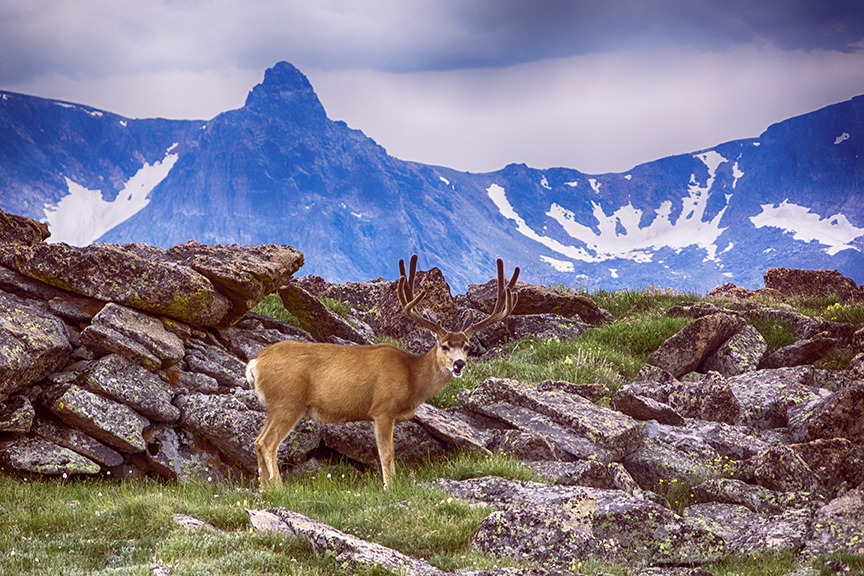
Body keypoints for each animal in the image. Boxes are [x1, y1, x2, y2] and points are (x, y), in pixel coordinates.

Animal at [246, 254, 519, 489]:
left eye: (467, 347)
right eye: (444, 345)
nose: (459, 364)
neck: (412, 376)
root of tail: (255, 363)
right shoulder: (382, 409)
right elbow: (387, 453)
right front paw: (390, 487)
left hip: (274, 406)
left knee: (258, 441)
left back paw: (265, 489)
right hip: (288, 401)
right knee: (268, 443)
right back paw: (279, 489)